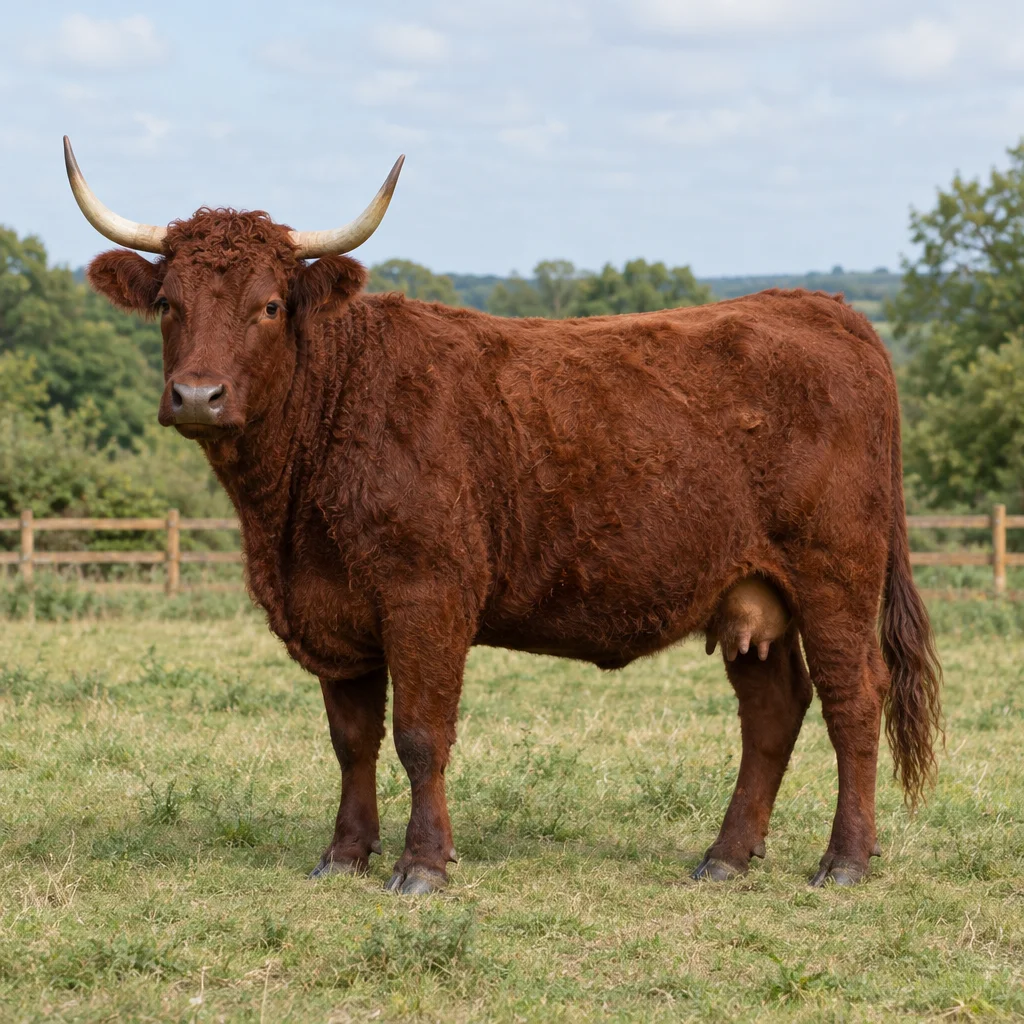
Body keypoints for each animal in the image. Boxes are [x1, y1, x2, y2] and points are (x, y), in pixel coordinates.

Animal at [65, 137, 941, 894]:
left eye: (272, 305)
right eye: (169, 303)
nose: (197, 396)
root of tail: (822, 307)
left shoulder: (428, 596)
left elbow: (421, 736)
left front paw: (423, 866)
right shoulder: (335, 615)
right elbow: (352, 741)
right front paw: (342, 856)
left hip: (834, 576)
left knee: (853, 698)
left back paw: (844, 861)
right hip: (751, 592)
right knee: (772, 711)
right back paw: (725, 857)